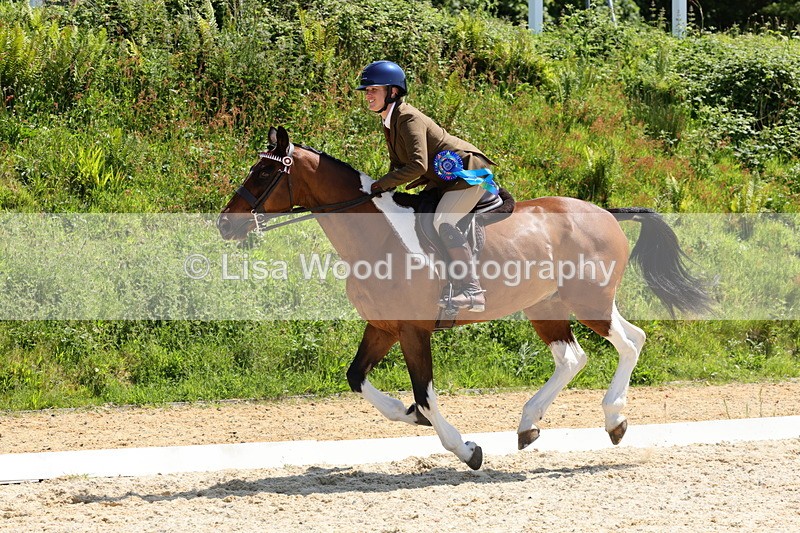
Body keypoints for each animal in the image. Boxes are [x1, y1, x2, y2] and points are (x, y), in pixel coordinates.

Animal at [217, 126, 710, 470]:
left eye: (265, 171)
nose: (224, 223)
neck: (375, 239)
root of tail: (605, 212)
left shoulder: (414, 330)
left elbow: (426, 395)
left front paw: (466, 449)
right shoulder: (383, 326)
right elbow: (358, 378)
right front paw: (407, 414)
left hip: (588, 300)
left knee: (627, 342)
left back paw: (613, 420)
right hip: (549, 305)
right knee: (578, 355)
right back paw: (530, 425)